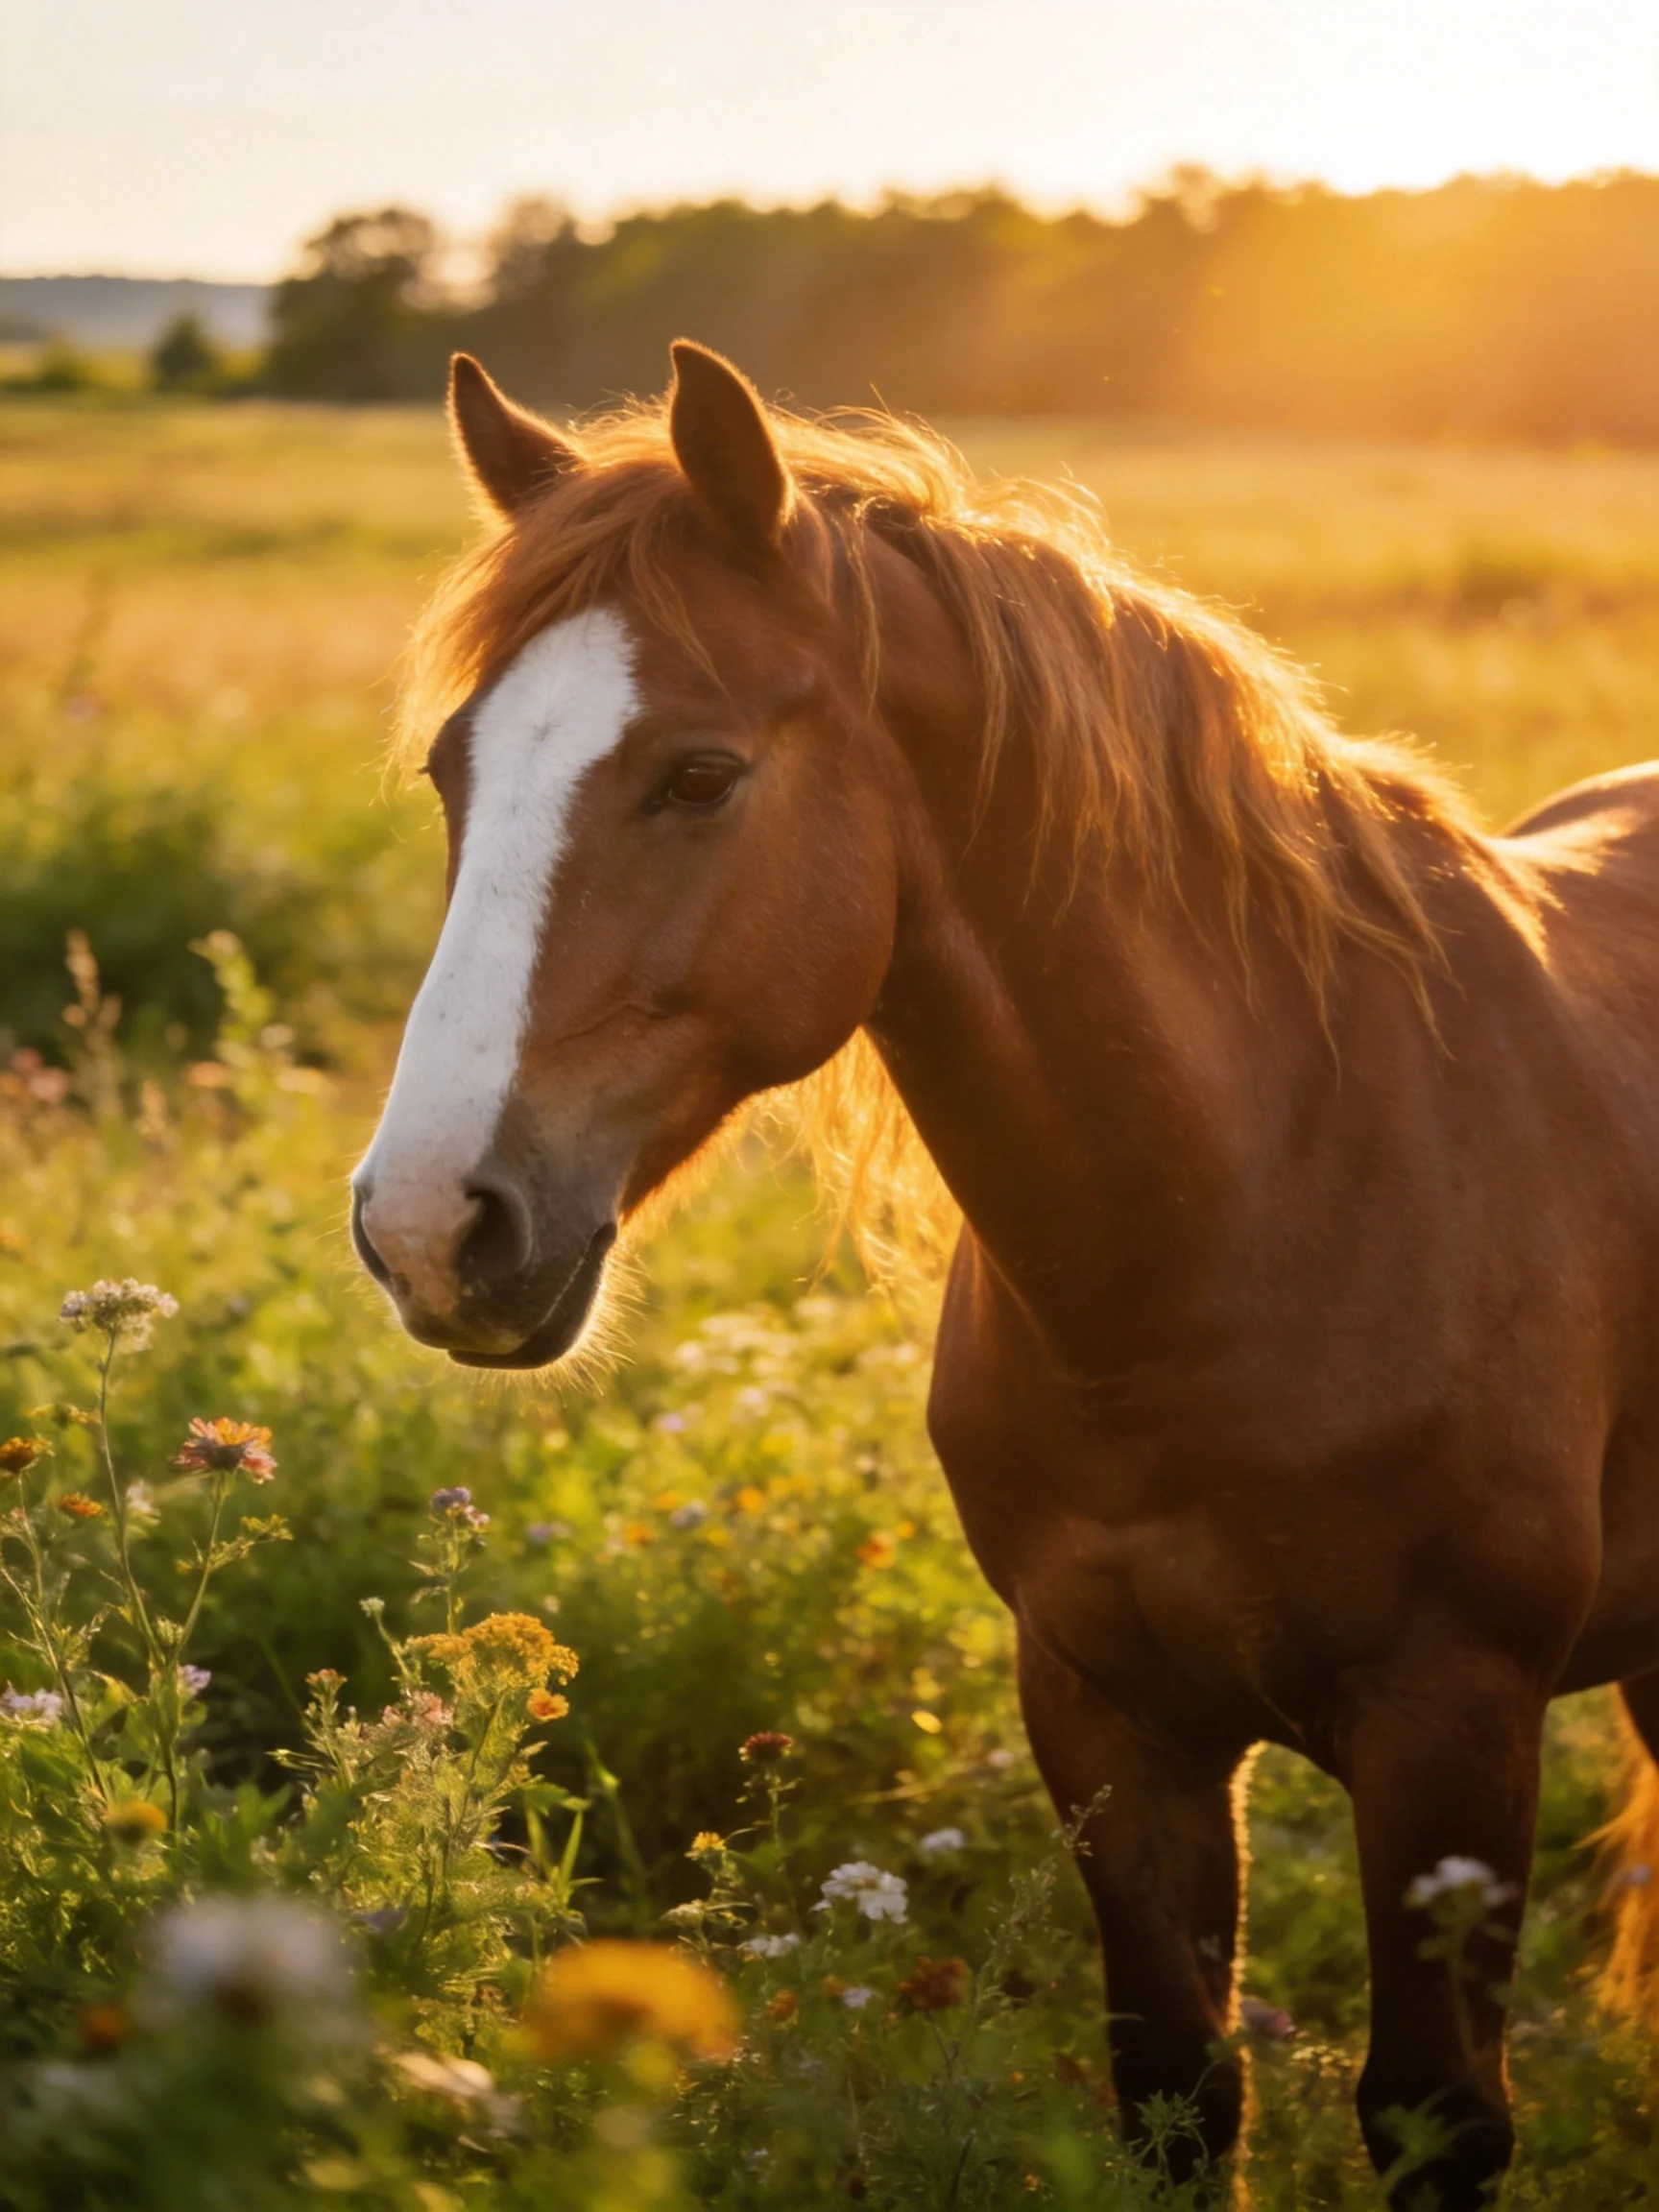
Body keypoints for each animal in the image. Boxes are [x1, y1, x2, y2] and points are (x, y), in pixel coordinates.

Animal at [351, 341, 1659, 2207]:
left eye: (698, 775)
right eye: (455, 774)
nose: (423, 1226)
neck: (1259, 1214)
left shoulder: (1452, 1734)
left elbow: (1434, 2112)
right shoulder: (1109, 1721)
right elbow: (1178, 2086)